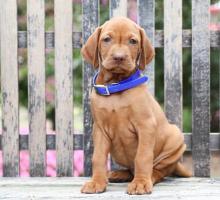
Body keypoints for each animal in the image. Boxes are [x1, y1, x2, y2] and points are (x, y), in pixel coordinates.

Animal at [80, 17, 191, 195]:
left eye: (133, 41)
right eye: (106, 39)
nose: (119, 57)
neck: (117, 84)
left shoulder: (146, 126)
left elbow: (143, 157)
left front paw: (140, 183)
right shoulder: (100, 129)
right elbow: (98, 157)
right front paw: (96, 182)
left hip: (176, 139)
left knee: (159, 171)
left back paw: (148, 177)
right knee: (131, 169)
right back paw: (118, 174)